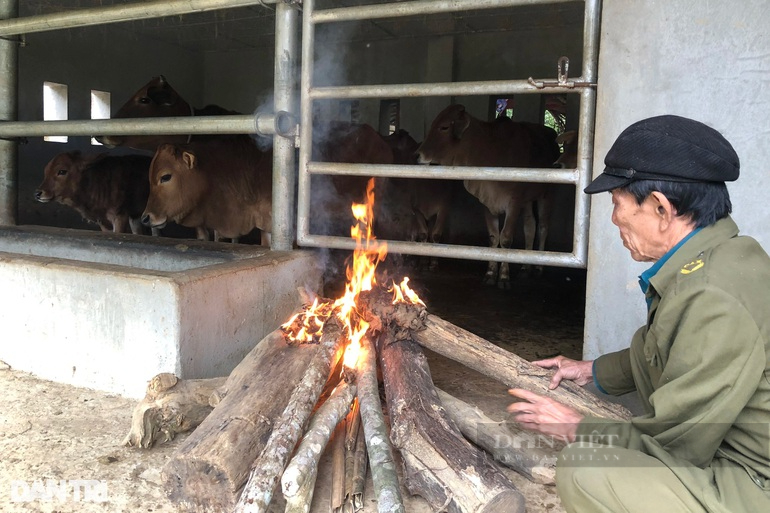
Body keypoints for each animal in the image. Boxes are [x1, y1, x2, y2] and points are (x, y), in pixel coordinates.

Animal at [414, 104, 560, 288]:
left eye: (444, 127)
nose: (417, 155)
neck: (490, 149)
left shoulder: (514, 203)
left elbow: (505, 239)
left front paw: (503, 277)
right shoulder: (488, 203)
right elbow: (493, 238)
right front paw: (490, 273)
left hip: (547, 195)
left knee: (543, 227)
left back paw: (538, 268)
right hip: (527, 201)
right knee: (530, 226)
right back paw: (525, 268)